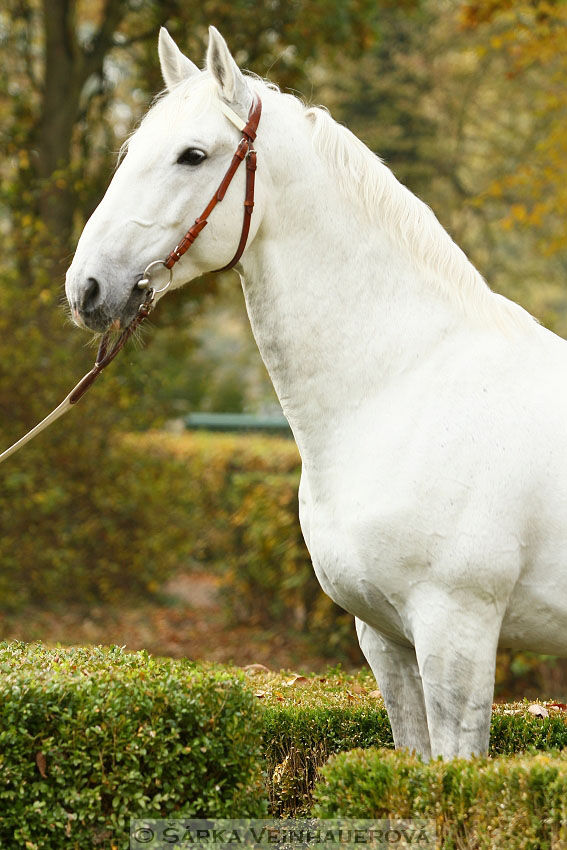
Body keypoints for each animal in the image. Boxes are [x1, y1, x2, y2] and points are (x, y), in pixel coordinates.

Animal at [64, 26, 567, 760]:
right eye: (130, 151)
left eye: (193, 155)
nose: (87, 289)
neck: (403, 387)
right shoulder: (385, 639)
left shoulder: (457, 633)